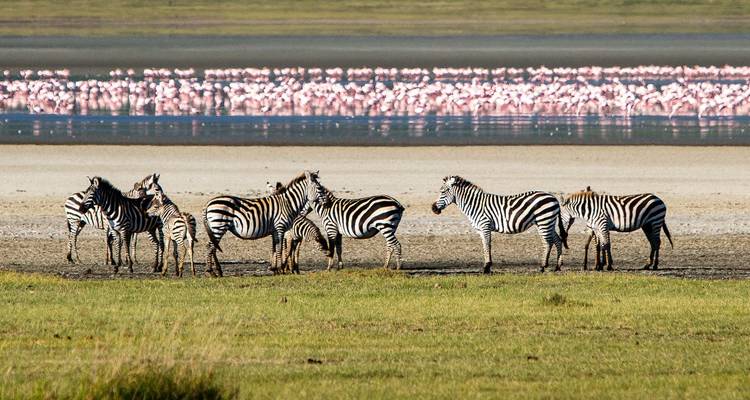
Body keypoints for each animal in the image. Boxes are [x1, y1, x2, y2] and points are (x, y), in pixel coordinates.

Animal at [431, 176, 568, 273]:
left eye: (443, 192)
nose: (433, 209)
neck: (474, 205)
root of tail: (554, 198)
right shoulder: (480, 230)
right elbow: (484, 246)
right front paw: (487, 266)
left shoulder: (485, 226)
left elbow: (487, 245)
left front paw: (487, 267)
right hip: (547, 222)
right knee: (557, 240)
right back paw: (557, 266)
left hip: (544, 221)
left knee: (548, 242)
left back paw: (542, 267)